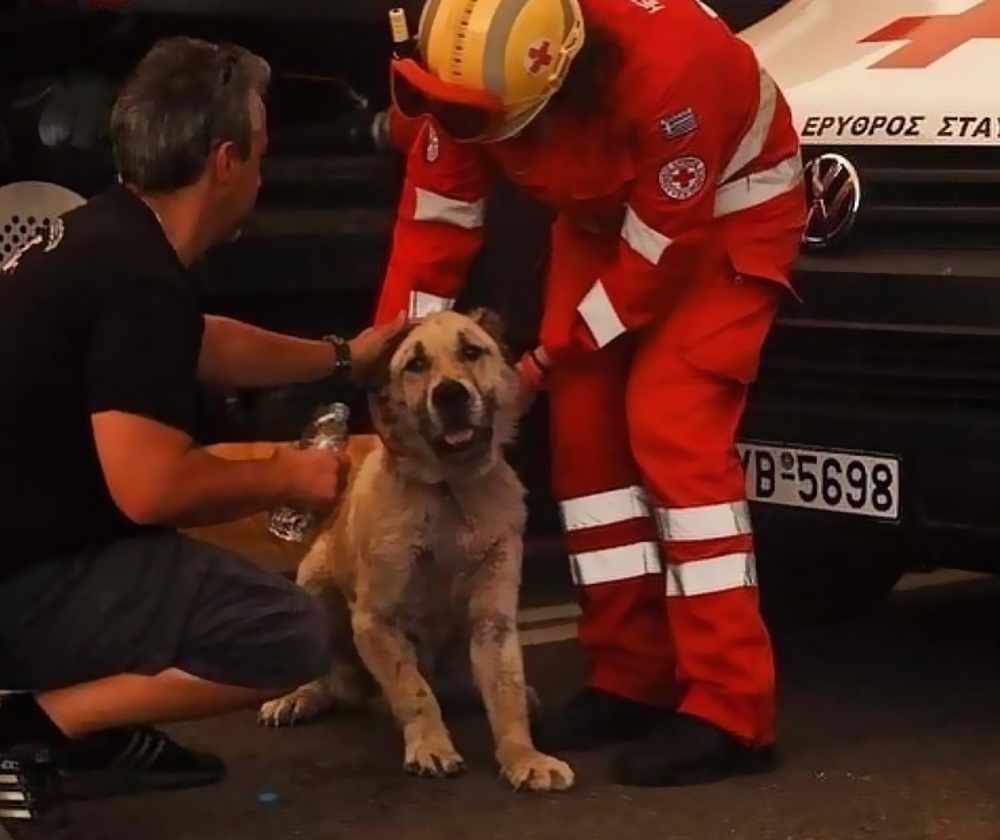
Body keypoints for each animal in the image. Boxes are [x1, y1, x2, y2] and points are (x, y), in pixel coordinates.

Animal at [250, 310, 576, 796]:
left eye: (471, 351)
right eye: (415, 364)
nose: (450, 395)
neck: (449, 492)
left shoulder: (494, 622)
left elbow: (506, 694)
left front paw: (523, 756)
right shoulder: (376, 622)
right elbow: (414, 691)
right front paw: (430, 746)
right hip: (313, 581)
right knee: (333, 678)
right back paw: (301, 697)